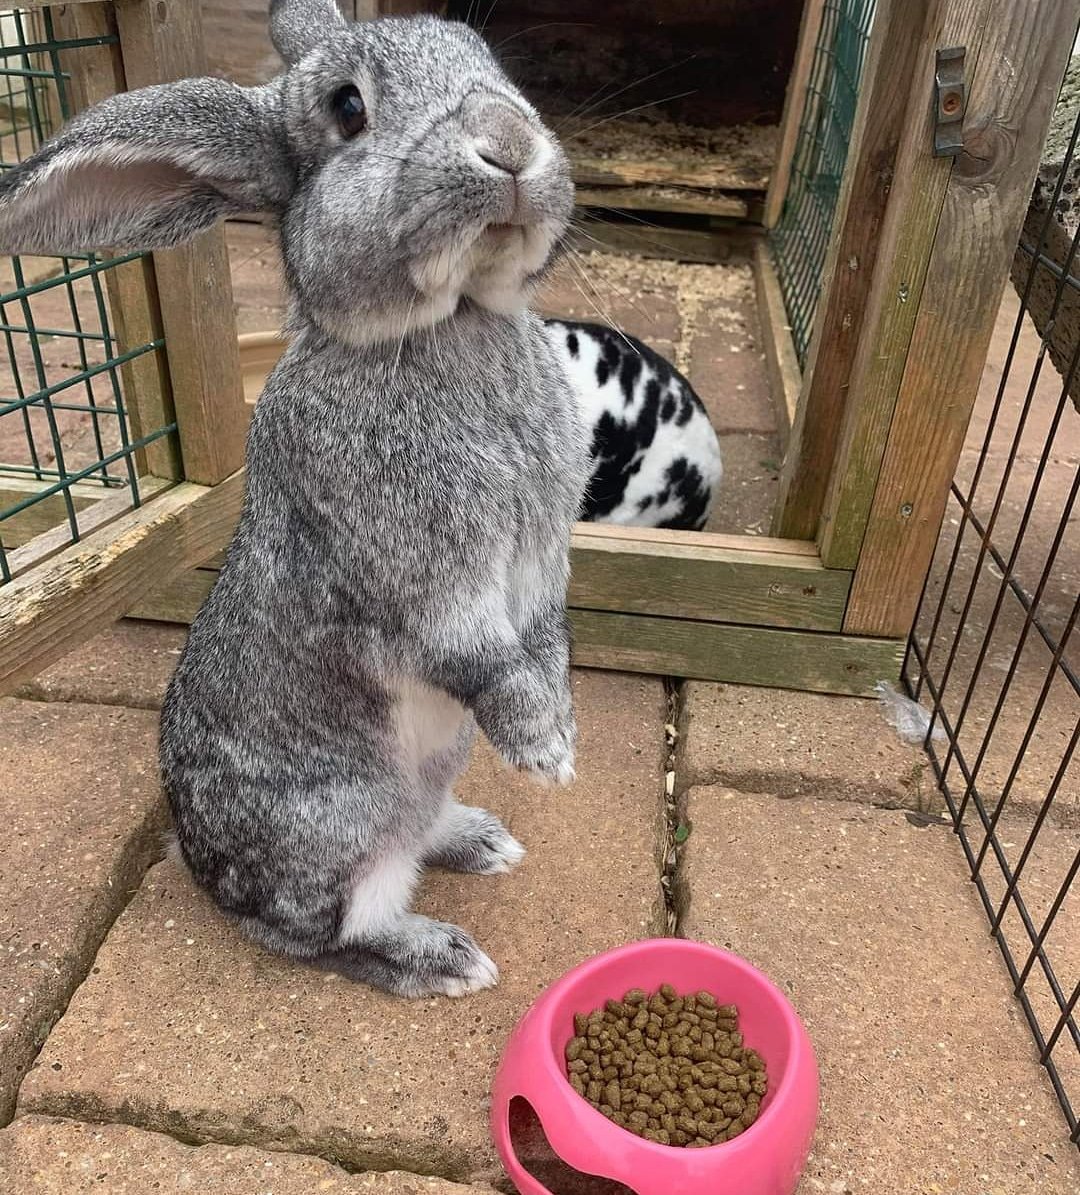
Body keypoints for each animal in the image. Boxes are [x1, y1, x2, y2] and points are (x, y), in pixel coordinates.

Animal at [0, 0, 589, 997]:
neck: (457, 322)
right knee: (325, 932)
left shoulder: (542, 564)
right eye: (348, 109)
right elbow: (480, 656)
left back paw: (480, 839)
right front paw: (546, 752)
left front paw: (561, 727)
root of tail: (203, 868)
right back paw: (442, 958)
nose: (508, 145)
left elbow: (544, 639)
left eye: (489, 61)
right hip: (341, 830)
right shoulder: (418, 580)